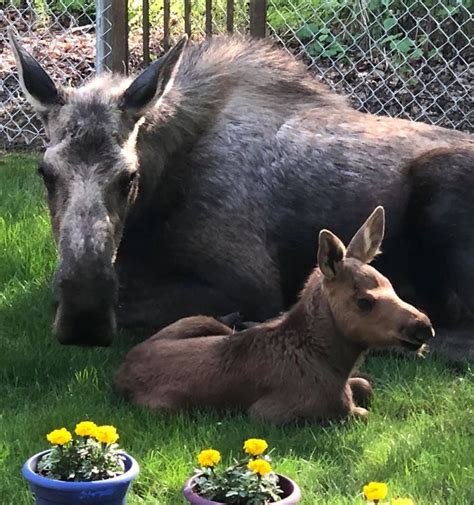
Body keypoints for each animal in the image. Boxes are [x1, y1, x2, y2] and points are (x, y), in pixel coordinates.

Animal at [115, 207, 434, 424]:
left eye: (391, 285)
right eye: (364, 301)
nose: (424, 327)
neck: (335, 363)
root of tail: (123, 369)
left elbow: (366, 385)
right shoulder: (268, 413)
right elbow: (361, 411)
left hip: (201, 321)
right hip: (168, 406)